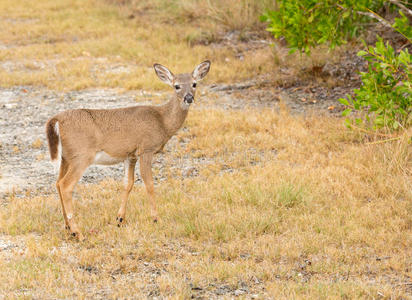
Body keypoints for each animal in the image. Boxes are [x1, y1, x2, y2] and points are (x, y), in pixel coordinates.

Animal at [46, 60, 211, 239]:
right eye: (176, 86)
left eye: (194, 84)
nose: (189, 98)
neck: (162, 121)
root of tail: (56, 120)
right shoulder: (146, 149)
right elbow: (149, 183)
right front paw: (156, 218)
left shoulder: (130, 155)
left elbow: (128, 183)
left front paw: (119, 219)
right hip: (81, 156)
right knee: (66, 185)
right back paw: (77, 232)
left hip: (66, 157)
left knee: (57, 183)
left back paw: (67, 227)